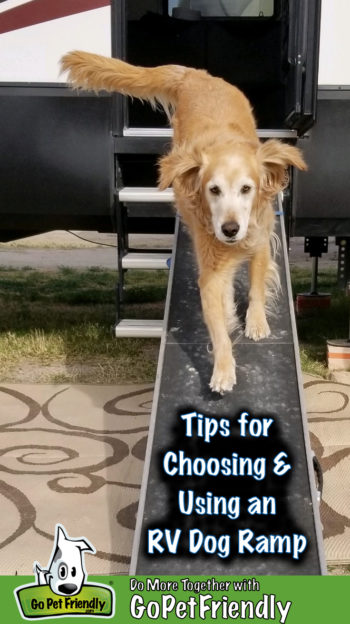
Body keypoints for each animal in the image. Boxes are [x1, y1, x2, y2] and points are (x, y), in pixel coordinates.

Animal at [60, 53, 306, 394]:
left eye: (247, 189)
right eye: (213, 190)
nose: (230, 229)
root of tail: (196, 75)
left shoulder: (260, 239)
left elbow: (257, 285)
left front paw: (256, 322)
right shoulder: (211, 269)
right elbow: (217, 322)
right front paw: (223, 368)